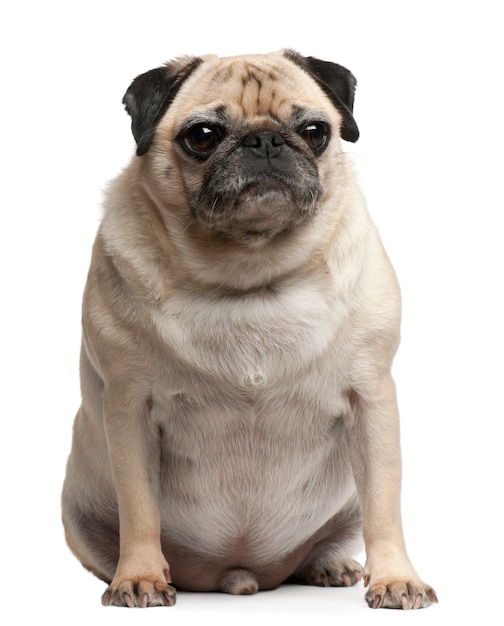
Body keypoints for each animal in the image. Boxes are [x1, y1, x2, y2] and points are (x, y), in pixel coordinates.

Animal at [60, 51, 438, 608]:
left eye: (315, 131)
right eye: (202, 136)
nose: (265, 140)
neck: (250, 274)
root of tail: (238, 572)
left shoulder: (371, 401)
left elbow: (385, 505)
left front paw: (395, 579)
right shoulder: (129, 408)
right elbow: (140, 509)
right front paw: (140, 577)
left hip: (343, 508)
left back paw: (329, 565)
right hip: (78, 514)